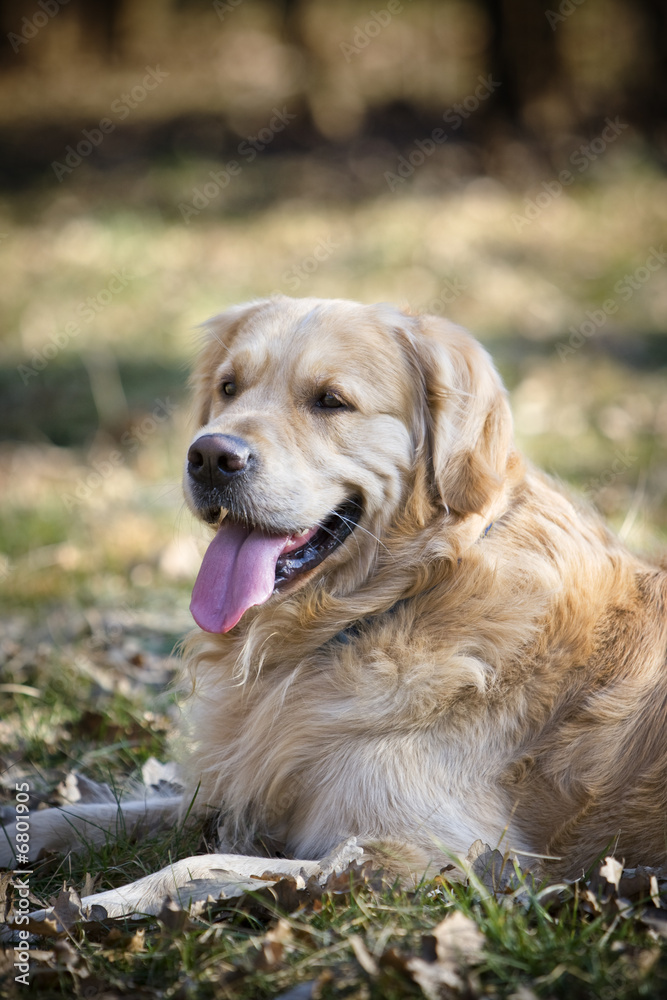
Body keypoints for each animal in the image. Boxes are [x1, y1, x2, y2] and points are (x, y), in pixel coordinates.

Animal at [1, 294, 667, 916]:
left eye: (330, 401)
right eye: (229, 387)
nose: (210, 456)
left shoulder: (437, 857)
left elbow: (192, 867)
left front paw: (87, 909)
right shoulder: (239, 786)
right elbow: (96, 814)